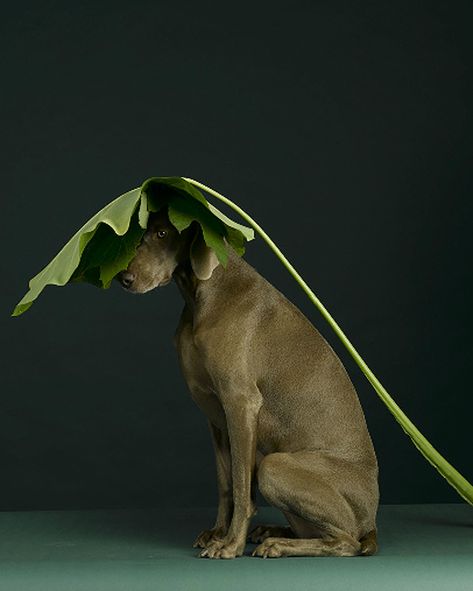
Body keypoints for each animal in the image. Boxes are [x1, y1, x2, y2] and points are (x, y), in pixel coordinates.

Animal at [118, 208, 380, 560]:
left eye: (163, 233)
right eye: (142, 231)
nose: (124, 278)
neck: (205, 295)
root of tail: (372, 521)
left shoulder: (241, 403)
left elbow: (243, 487)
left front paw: (230, 545)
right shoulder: (215, 414)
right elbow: (226, 483)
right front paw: (217, 533)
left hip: (274, 464)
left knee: (346, 541)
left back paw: (278, 545)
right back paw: (272, 531)